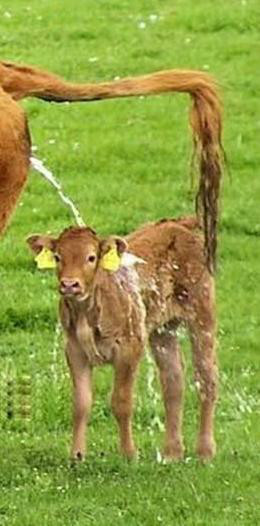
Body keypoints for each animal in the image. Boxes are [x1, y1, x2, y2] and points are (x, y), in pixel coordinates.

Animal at [27, 219, 218, 462]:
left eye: (91, 257)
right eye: (58, 257)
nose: (69, 284)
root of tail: (177, 224)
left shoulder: (129, 347)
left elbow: (121, 402)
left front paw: (128, 454)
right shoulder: (74, 351)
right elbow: (81, 404)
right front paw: (77, 455)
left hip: (202, 314)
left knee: (206, 378)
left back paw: (205, 451)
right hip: (163, 329)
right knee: (173, 381)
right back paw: (172, 453)